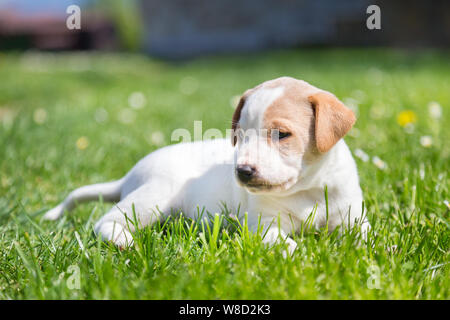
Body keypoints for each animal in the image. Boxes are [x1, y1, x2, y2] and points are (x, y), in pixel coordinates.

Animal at [44, 77, 370, 252]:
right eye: (240, 135)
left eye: (281, 134)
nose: (243, 171)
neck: (307, 190)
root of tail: (128, 177)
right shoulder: (263, 226)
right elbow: (283, 242)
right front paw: (297, 253)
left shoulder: (352, 217)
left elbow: (366, 236)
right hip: (154, 197)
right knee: (107, 220)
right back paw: (123, 240)